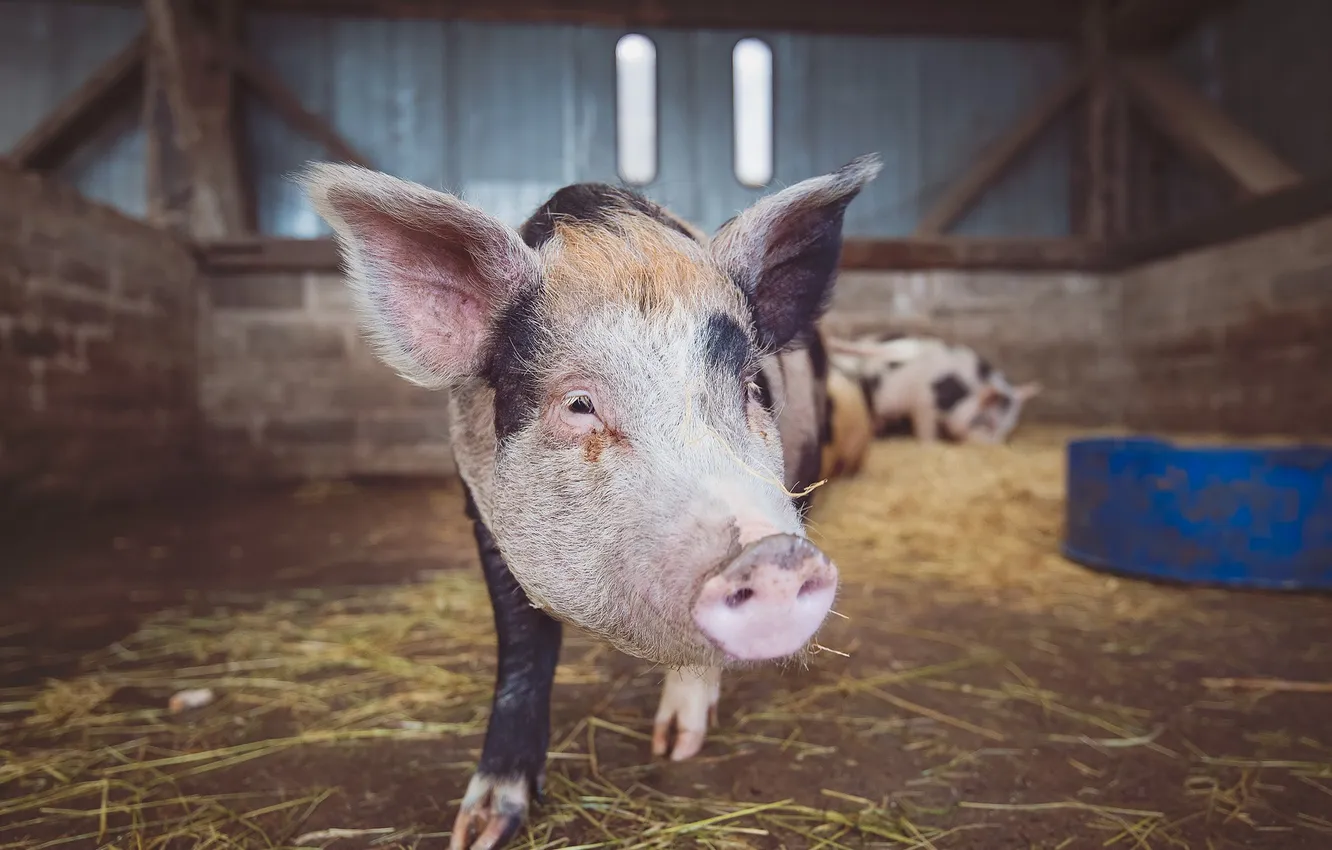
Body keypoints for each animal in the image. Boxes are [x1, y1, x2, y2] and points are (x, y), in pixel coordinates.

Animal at [300, 154, 881, 850]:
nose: (774, 555)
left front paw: (673, 748)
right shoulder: (481, 511)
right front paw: (477, 831)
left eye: (751, 389)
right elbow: (523, 649)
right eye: (579, 405)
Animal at [826, 334, 1041, 444]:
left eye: (1008, 427)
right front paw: (931, 445)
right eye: (988, 423)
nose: (994, 446)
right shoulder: (923, 405)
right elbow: (926, 431)